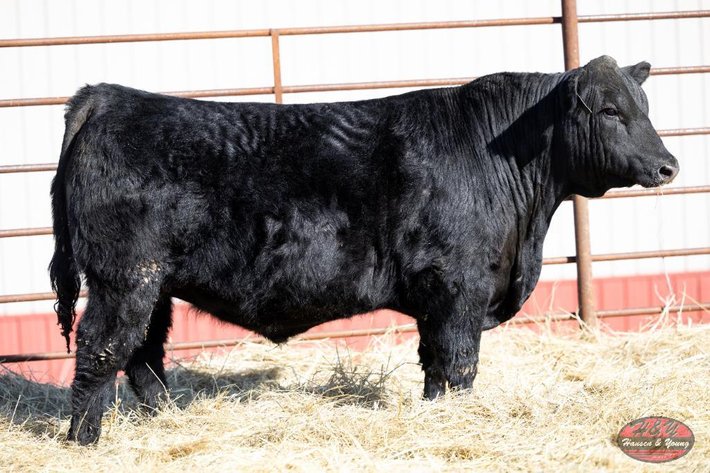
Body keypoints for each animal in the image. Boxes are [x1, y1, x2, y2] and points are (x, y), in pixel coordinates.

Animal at [50, 55, 678, 444]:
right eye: (611, 110)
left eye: (645, 107)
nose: (668, 166)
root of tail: (106, 98)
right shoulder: (461, 289)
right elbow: (460, 364)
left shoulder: (437, 300)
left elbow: (434, 366)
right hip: (124, 278)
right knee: (101, 350)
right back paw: (84, 440)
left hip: (154, 285)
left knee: (143, 356)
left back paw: (166, 418)